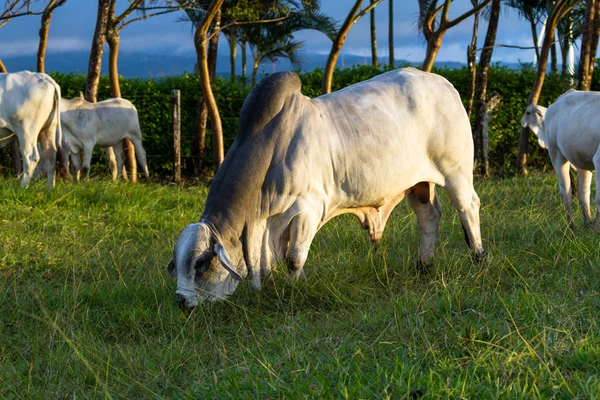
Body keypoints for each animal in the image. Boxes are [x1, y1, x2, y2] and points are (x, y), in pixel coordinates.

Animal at [166, 68, 486, 310]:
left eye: (201, 263)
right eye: (177, 263)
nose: (181, 302)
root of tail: (443, 84)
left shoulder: (308, 209)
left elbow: (294, 257)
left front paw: (296, 290)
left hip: (456, 171)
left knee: (468, 208)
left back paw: (479, 258)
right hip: (418, 183)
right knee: (428, 216)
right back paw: (423, 266)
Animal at [520, 89, 600, 230]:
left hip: (581, 160)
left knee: (583, 193)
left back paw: (588, 224)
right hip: (556, 153)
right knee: (566, 192)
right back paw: (572, 226)